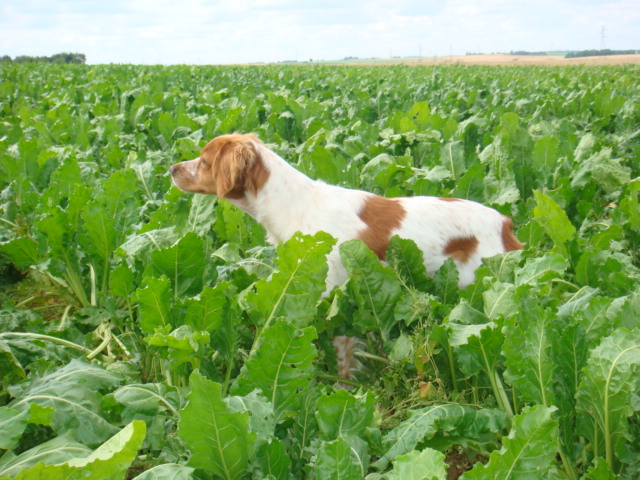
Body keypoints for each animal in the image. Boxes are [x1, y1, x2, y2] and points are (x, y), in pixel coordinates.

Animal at [172, 133, 524, 376]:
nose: (172, 168)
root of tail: (504, 222)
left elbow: (344, 356)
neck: (292, 204)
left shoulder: (335, 297)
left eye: (203, 161)